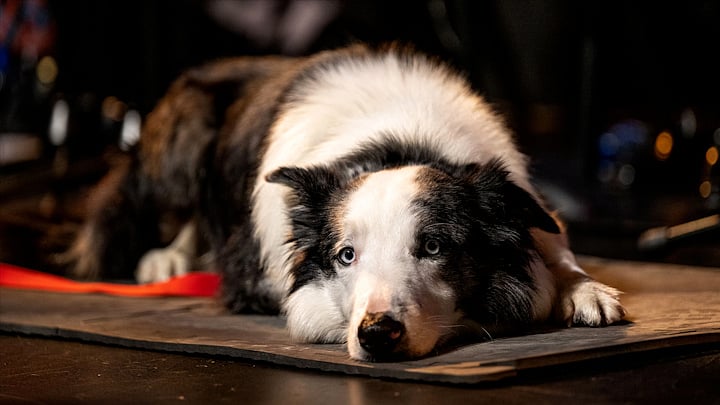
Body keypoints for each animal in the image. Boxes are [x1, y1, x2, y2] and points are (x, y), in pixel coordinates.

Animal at [66, 44, 625, 361]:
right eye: (346, 256)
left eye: (434, 247)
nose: (377, 334)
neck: (399, 139)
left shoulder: (527, 203)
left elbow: (555, 248)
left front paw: (584, 289)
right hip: (181, 143)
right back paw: (170, 257)